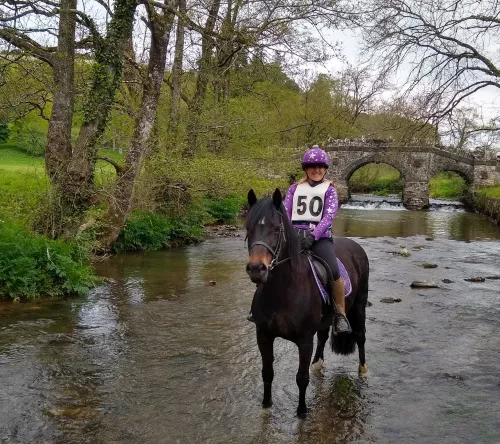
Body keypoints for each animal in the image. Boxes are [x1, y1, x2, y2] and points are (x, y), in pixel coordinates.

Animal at [244, 187, 370, 416]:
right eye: (248, 227)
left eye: (277, 228)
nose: (257, 269)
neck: (283, 290)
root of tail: (355, 245)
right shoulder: (263, 335)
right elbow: (267, 372)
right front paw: (266, 404)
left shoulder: (304, 340)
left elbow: (301, 378)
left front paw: (302, 411)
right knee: (323, 335)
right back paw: (317, 364)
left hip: (359, 305)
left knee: (360, 336)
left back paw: (363, 370)